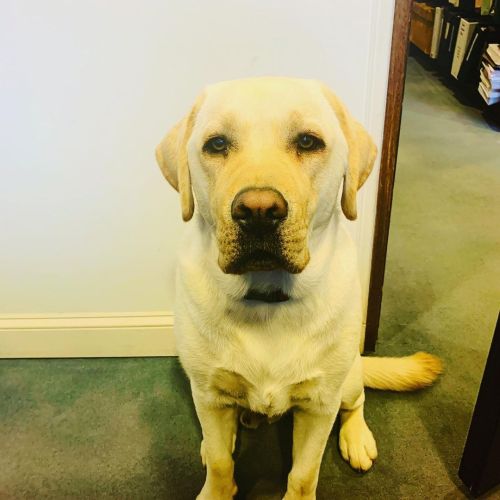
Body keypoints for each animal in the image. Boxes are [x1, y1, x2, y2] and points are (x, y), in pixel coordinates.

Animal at [156, 78, 442, 500]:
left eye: (308, 142)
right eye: (217, 144)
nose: (258, 211)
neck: (266, 298)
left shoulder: (319, 405)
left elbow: (304, 473)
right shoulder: (206, 394)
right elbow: (223, 464)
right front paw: (216, 484)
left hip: (348, 379)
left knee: (357, 402)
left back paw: (357, 437)